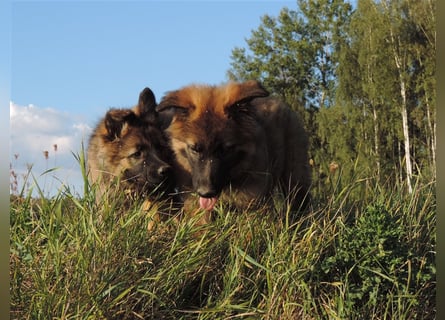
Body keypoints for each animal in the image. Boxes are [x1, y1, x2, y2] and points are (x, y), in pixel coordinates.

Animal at [155, 79, 308, 218]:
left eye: (224, 150)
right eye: (194, 149)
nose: (206, 192)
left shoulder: (252, 204)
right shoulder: (196, 204)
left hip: (295, 180)